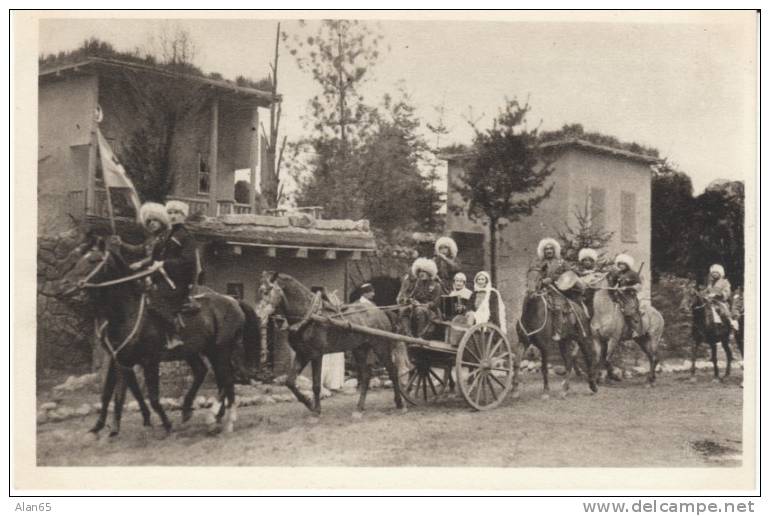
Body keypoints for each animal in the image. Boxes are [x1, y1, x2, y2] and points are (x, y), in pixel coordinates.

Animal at [57, 236, 260, 438]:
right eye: (78, 259)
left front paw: (166, 424)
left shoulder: (149, 361)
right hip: (200, 351)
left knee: (227, 379)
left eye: (93, 260)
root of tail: (233, 300)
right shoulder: (119, 360)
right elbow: (113, 394)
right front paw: (103, 427)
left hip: (221, 350)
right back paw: (205, 414)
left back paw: (220, 419)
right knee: (211, 375)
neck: (126, 312)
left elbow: (152, 397)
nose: (63, 286)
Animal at [256, 272, 408, 418]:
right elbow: (290, 382)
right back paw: (359, 408)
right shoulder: (302, 353)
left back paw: (400, 404)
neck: (309, 315)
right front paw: (309, 403)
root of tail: (380, 311)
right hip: (360, 349)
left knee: (392, 371)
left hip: (381, 346)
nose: (259, 315)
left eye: (268, 291)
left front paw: (316, 410)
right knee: (365, 376)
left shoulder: (316, 355)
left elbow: (316, 385)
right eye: (260, 291)